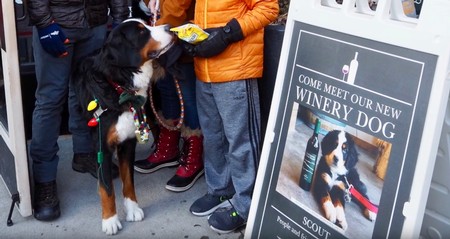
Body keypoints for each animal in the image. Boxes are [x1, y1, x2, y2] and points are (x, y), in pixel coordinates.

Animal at [72, 18, 174, 235]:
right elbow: (107, 188)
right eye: (142, 32)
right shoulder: (102, 145)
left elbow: (129, 181)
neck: (120, 86)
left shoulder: (128, 142)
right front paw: (110, 219)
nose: (170, 27)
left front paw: (132, 209)